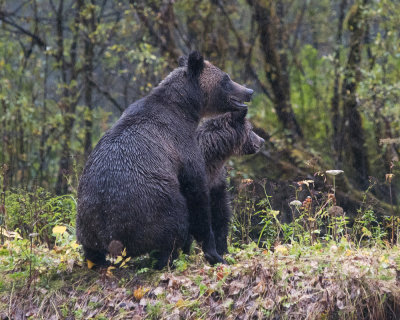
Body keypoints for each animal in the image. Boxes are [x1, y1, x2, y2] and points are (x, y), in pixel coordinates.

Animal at [76, 51, 255, 268]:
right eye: (226, 79)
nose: (249, 91)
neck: (185, 108)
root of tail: (109, 238)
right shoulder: (182, 146)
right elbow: (197, 193)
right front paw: (215, 254)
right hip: (152, 208)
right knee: (174, 225)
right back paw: (167, 258)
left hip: (85, 219)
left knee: (90, 248)